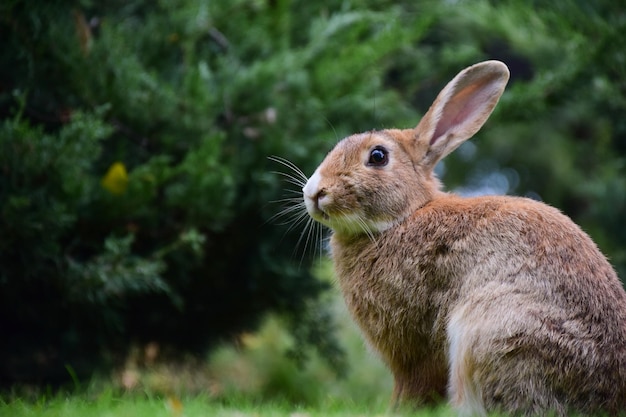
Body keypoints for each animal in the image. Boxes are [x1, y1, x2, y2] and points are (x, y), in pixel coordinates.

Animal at [298, 60, 626, 414]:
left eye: (378, 156)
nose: (314, 192)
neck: (401, 219)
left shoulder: (413, 348)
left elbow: (412, 385)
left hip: (494, 331)